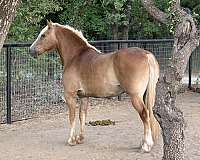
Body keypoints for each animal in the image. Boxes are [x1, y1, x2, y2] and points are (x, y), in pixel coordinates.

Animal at [29, 20, 160, 152]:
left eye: (43, 35)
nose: (31, 50)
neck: (75, 57)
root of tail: (146, 54)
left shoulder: (70, 95)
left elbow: (72, 116)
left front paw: (71, 140)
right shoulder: (84, 96)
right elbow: (82, 115)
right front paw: (80, 139)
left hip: (135, 96)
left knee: (145, 114)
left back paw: (146, 145)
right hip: (144, 95)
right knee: (149, 113)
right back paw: (143, 143)